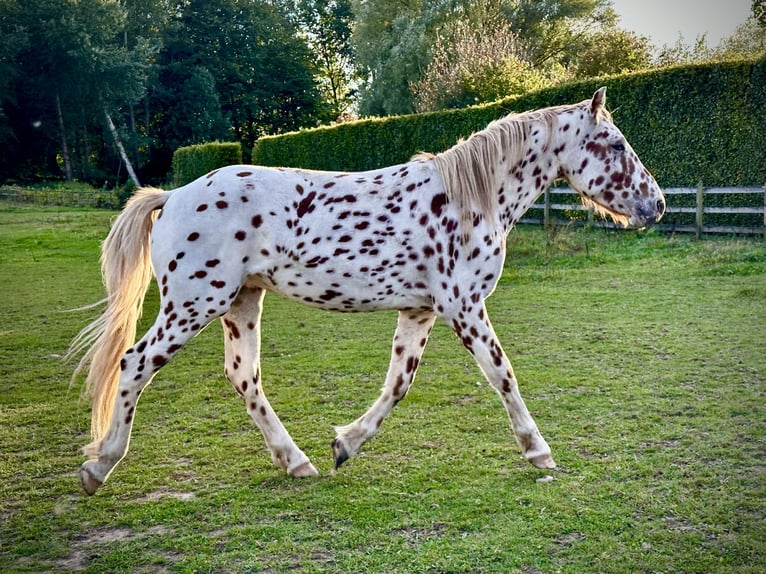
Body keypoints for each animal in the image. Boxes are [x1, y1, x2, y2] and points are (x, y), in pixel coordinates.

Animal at [69, 87, 665, 494]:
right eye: (614, 143)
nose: (656, 205)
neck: (471, 199)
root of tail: (172, 197)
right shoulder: (465, 307)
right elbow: (503, 375)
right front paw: (539, 452)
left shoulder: (421, 311)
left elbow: (398, 384)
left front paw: (344, 445)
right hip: (195, 303)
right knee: (134, 363)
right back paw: (100, 466)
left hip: (241, 302)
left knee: (244, 377)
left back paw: (298, 461)